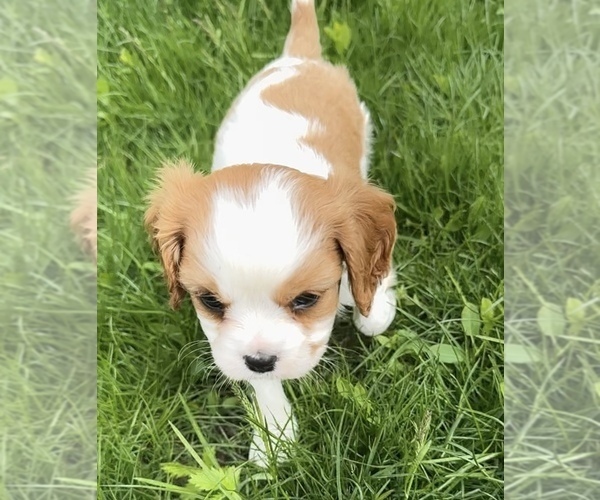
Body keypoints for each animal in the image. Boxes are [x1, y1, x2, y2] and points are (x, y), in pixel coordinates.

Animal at [145, 0, 398, 466]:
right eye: (209, 302)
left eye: (307, 300)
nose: (261, 360)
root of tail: (298, 58)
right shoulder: (237, 345)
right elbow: (259, 380)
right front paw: (276, 436)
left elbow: (371, 293)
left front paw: (374, 309)